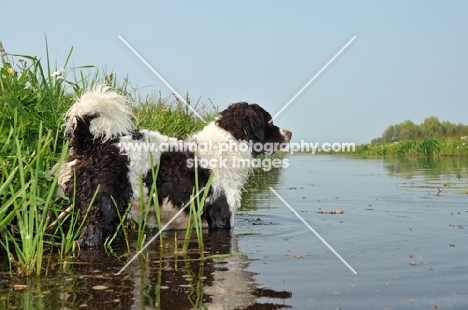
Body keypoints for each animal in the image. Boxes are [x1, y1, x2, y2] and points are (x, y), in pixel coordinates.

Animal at [59, 87, 292, 247]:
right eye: (270, 122)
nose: (289, 134)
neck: (229, 145)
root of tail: (92, 144)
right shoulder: (221, 216)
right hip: (104, 210)